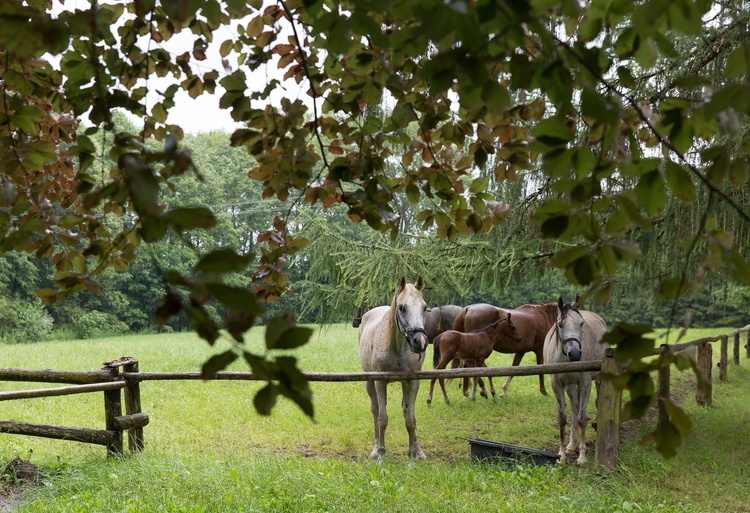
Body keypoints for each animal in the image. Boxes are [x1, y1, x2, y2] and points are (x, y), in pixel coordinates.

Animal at [358, 276, 428, 460]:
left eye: (425, 307)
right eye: (402, 307)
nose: (420, 342)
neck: (396, 347)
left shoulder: (413, 382)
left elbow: (410, 419)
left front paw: (414, 453)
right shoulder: (380, 382)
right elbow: (382, 418)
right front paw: (381, 455)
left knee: (405, 409)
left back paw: (418, 450)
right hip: (369, 381)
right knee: (375, 410)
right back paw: (376, 448)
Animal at [548, 296, 612, 464]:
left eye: (581, 323)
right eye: (560, 324)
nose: (575, 353)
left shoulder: (585, 383)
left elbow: (582, 419)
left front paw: (582, 457)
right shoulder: (557, 385)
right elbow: (563, 418)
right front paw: (562, 454)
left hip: (597, 380)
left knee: (595, 403)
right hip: (570, 386)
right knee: (574, 408)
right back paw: (571, 445)